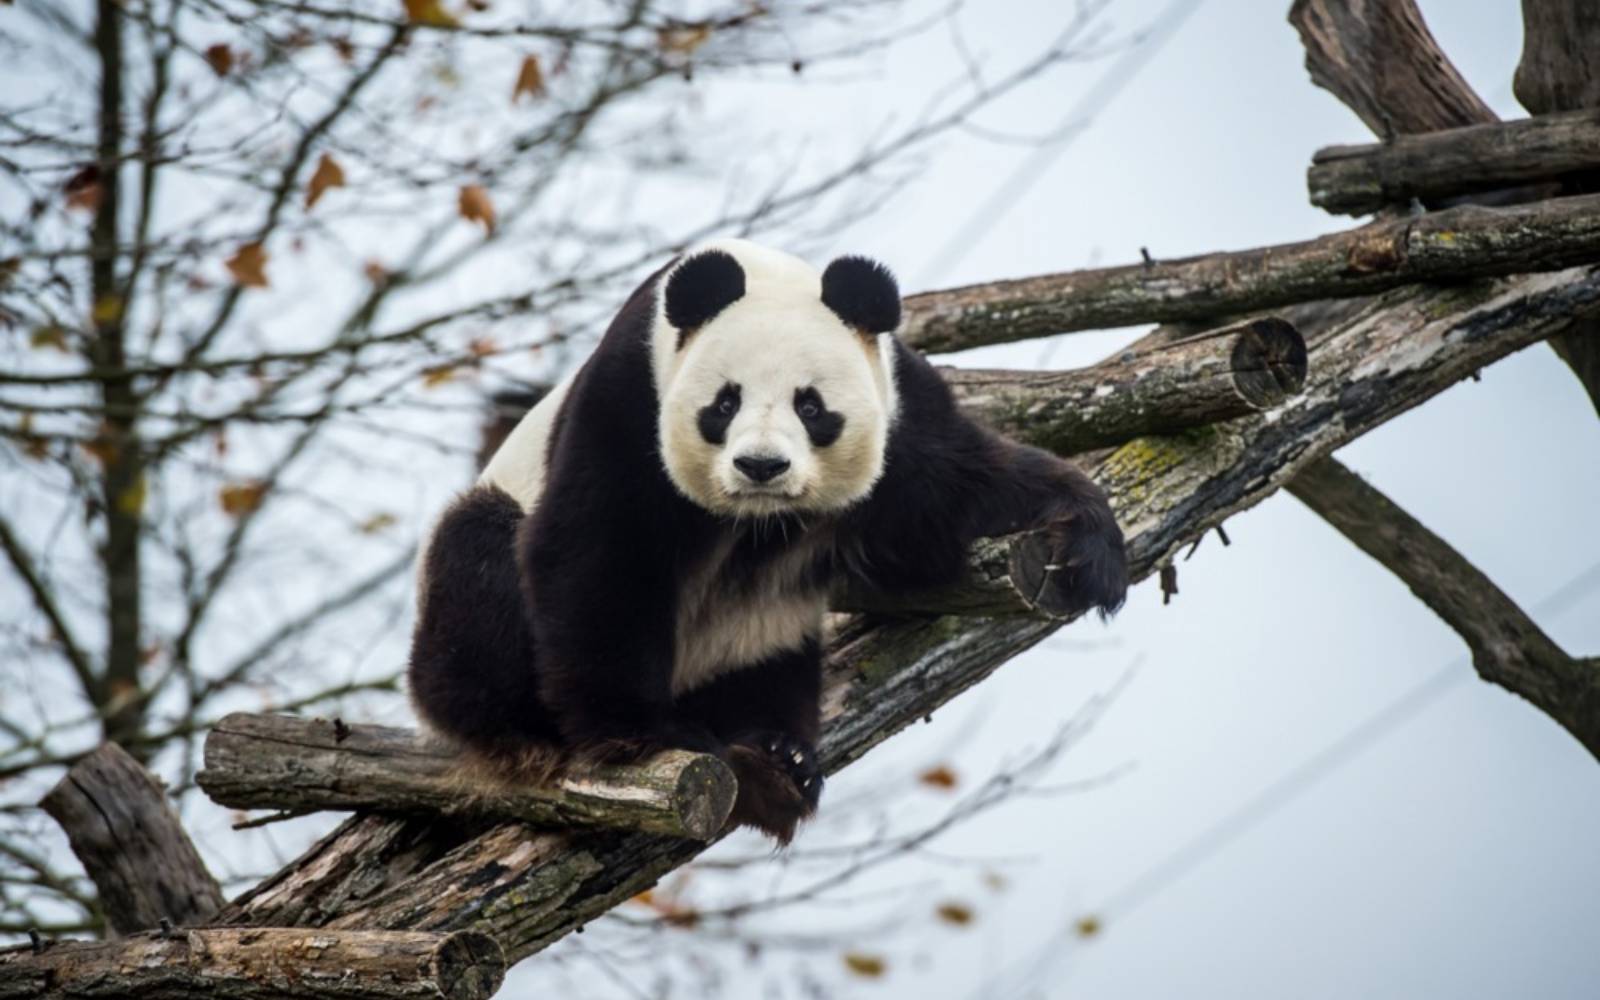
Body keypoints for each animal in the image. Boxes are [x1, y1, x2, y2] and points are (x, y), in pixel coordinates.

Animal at [408, 239, 1127, 843]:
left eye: (811, 407)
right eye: (724, 403)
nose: (761, 466)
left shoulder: (899, 415)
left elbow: (958, 493)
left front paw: (1088, 544)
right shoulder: (627, 401)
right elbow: (595, 553)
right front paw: (642, 732)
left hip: (754, 633)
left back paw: (775, 751)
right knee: (478, 565)